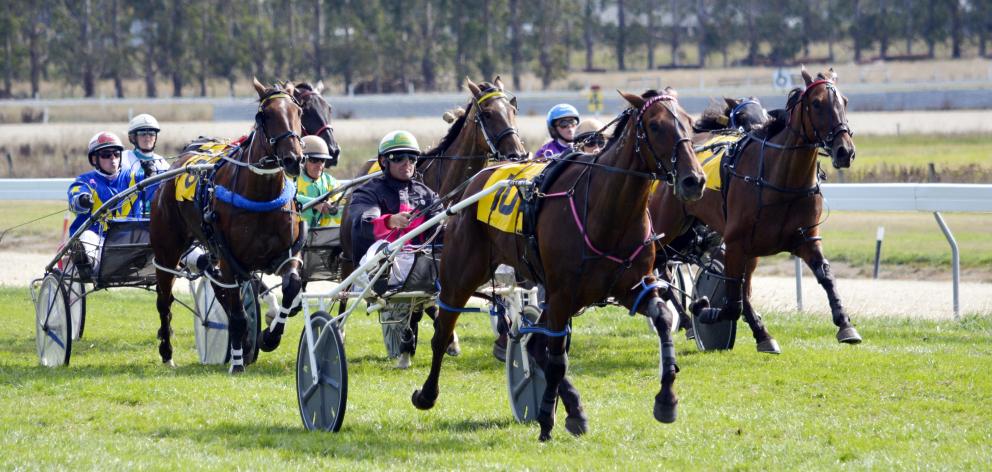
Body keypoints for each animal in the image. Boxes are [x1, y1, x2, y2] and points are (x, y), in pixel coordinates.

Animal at [151, 79, 304, 374]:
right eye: (264, 115)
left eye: (298, 111)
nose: (294, 158)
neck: (260, 196)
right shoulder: (230, 260)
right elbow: (238, 314)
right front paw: (237, 362)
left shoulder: (286, 253)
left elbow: (291, 287)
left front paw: (270, 336)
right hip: (167, 249)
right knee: (165, 300)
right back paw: (167, 353)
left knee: (216, 284)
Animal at [408, 89, 704, 442]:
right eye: (656, 125)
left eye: (689, 121)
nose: (693, 180)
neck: (607, 209)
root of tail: (475, 180)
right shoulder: (562, 295)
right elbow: (557, 361)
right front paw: (547, 422)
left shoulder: (632, 287)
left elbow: (662, 318)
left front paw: (666, 400)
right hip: (462, 273)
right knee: (444, 332)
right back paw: (427, 394)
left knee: (535, 345)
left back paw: (571, 409)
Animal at [652, 67, 860, 354]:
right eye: (817, 103)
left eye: (845, 101)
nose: (844, 151)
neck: (779, 179)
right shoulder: (736, 242)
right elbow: (733, 301)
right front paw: (705, 310)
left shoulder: (803, 238)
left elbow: (826, 276)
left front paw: (845, 324)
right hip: (666, 228)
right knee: (657, 266)